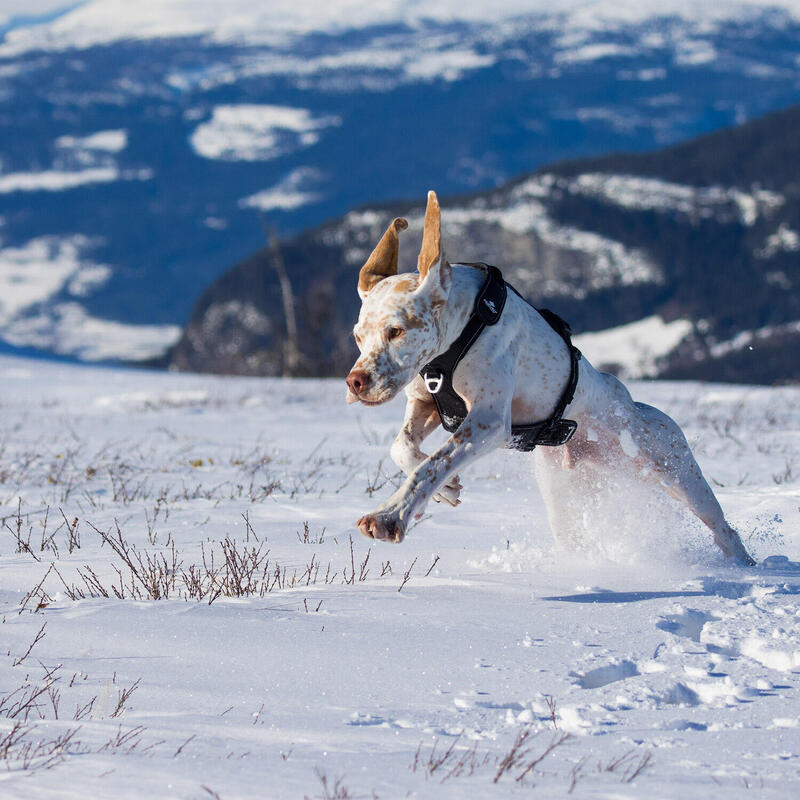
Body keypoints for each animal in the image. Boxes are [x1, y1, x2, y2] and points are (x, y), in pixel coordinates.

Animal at [344, 191, 756, 564]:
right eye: (358, 337)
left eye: (396, 331)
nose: (355, 382)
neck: (460, 331)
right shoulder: (426, 403)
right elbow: (404, 449)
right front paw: (446, 489)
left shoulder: (488, 421)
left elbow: (432, 464)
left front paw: (390, 516)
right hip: (565, 494)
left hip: (674, 470)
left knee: (721, 526)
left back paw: (744, 565)